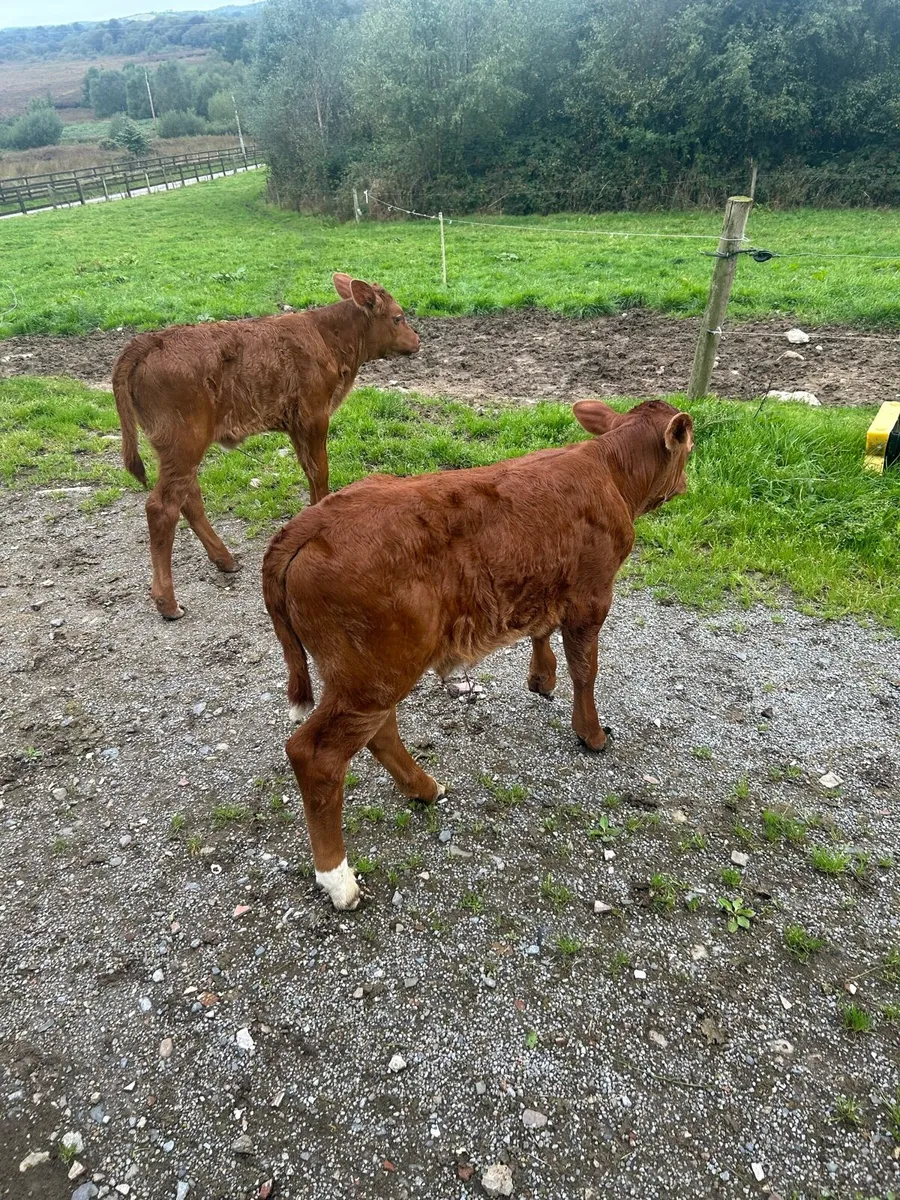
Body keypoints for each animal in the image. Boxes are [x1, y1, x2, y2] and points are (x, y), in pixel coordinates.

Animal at [112, 274, 420, 620]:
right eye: (398, 317)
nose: (417, 340)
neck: (328, 337)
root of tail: (151, 339)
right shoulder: (314, 416)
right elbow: (320, 471)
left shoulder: (298, 425)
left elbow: (310, 470)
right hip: (183, 442)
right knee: (162, 507)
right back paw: (168, 602)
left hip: (177, 447)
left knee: (188, 498)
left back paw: (225, 560)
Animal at [262, 398, 694, 909]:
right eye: (689, 447)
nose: (688, 483)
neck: (609, 468)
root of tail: (311, 520)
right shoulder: (592, 596)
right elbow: (585, 671)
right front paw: (591, 734)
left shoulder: (544, 583)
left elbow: (541, 632)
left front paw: (541, 679)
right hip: (372, 671)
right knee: (316, 755)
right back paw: (339, 879)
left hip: (372, 671)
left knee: (379, 731)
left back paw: (425, 788)